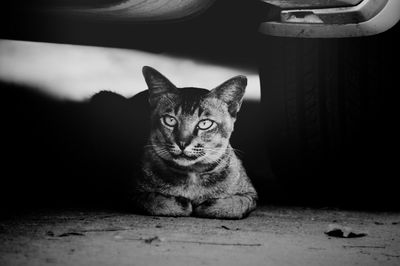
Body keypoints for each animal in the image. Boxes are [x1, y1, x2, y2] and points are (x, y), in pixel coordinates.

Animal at [131, 66, 256, 218]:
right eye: (170, 120)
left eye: (205, 123)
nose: (182, 143)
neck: (192, 174)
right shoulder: (134, 193)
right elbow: (157, 201)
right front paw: (182, 203)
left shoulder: (250, 194)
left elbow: (233, 205)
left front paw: (207, 205)